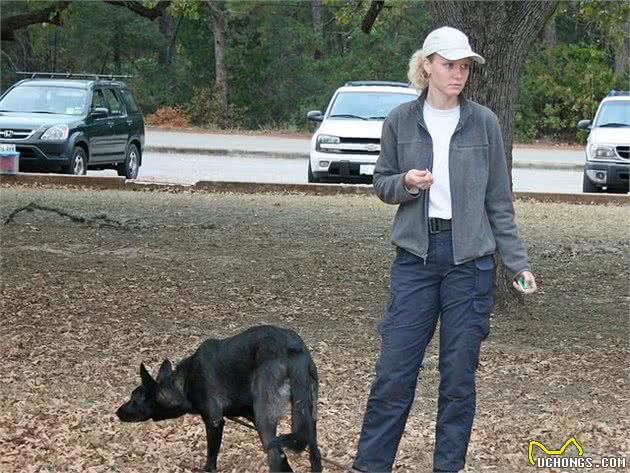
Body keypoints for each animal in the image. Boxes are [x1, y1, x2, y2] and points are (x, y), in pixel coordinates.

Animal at [116, 324, 324, 472]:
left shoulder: (214, 421)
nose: (117, 412)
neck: (183, 384)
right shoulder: (249, 415)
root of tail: (293, 350)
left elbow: (211, 457)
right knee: (314, 455)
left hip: (266, 417)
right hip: (309, 416)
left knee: (276, 457)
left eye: (134, 398)